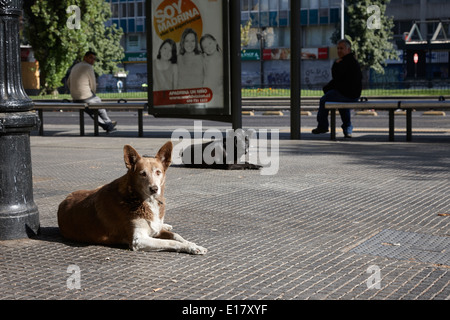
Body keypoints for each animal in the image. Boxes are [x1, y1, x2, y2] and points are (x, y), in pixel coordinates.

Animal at [57, 142, 208, 255]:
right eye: (142, 174)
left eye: (158, 172)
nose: (154, 189)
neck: (144, 201)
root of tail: (63, 201)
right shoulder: (138, 240)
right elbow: (170, 242)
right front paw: (189, 247)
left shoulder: (156, 231)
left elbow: (177, 236)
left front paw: (192, 244)